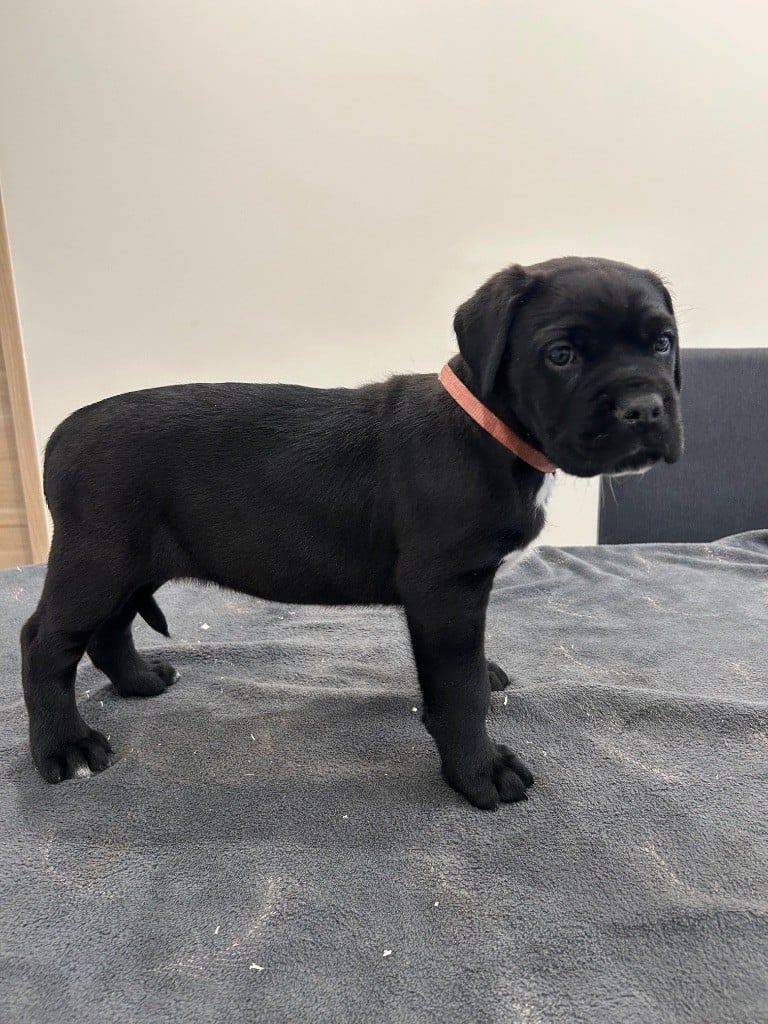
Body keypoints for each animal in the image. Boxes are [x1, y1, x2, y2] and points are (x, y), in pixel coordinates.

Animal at [21, 256, 683, 810]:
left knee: (107, 628)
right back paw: (66, 747)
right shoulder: (447, 588)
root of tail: (59, 437)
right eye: (562, 354)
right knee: (44, 641)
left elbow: (463, 669)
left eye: (663, 343)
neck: (491, 431)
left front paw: (483, 685)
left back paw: (138, 682)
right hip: (97, 559)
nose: (645, 409)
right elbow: (458, 687)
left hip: (131, 562)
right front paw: (479, 772)